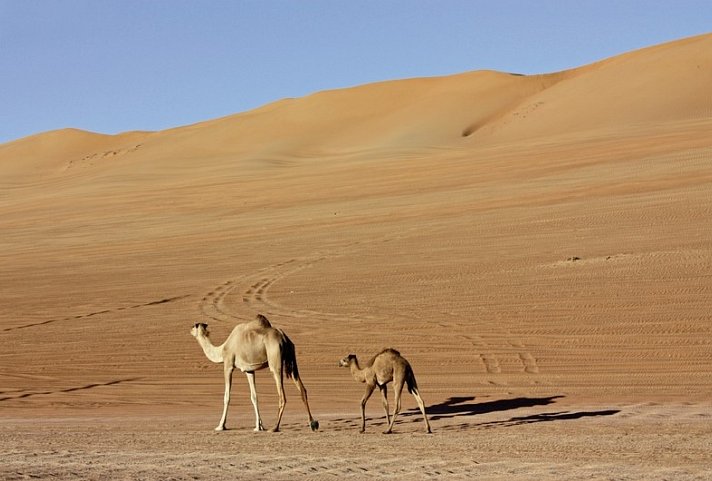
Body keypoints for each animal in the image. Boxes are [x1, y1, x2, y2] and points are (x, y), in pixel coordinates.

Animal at [192, 314, 320, 434]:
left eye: (194, 325)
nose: (190, 330)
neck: (222, 350)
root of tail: (283, 338)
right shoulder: (249, 370)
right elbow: (254, 396)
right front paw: (259, 426)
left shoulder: (228, 365)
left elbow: (227, 396)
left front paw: (220, 426)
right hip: (291, 358)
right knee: (302, 389)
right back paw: (313, 424)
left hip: (275, 360)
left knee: (282, 395)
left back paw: (275, 427)